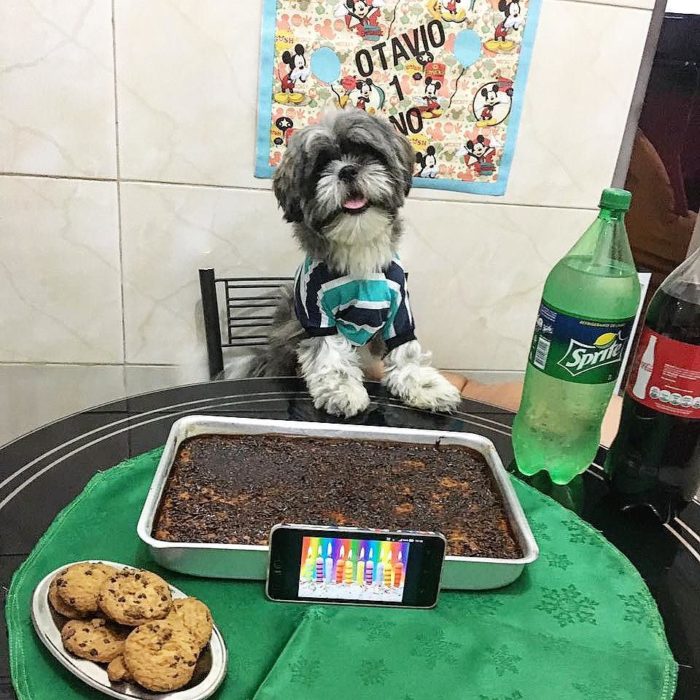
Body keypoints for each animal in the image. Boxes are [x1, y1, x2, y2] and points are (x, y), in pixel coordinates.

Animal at [258, 108, 460, 416]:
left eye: (367, 153)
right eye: (320, 165)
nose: (347, 170)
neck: (358, 246)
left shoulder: (399, 309)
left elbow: (405, 352)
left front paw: (424, 386)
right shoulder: (315, 311)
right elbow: (329, 351)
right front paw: (341, 390)